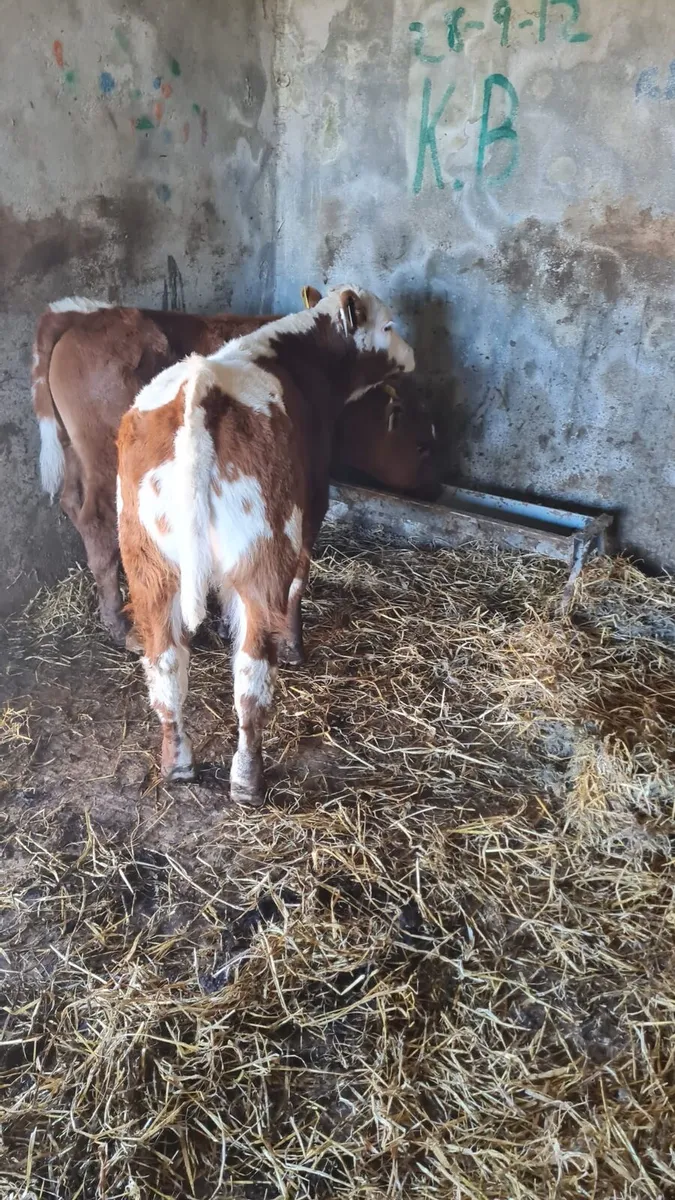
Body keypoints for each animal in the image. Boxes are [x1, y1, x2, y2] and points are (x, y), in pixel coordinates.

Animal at [32, 296, 440, 647]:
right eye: (423, 446)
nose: (433, 489)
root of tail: (78, 317)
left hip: (76, 452)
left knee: (74, 504)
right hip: (106, 459)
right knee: (100, 521)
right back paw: (120, 624)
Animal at [116, 286, 415, 803]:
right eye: (389, 326)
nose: (412, 357)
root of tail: (201, 390)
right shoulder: (312, 507)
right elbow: (300, 582)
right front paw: (296, 647)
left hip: (149, 565)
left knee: (166, 664)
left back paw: (177, 762)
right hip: (262, 558)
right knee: (251, 679)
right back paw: (248, 779)